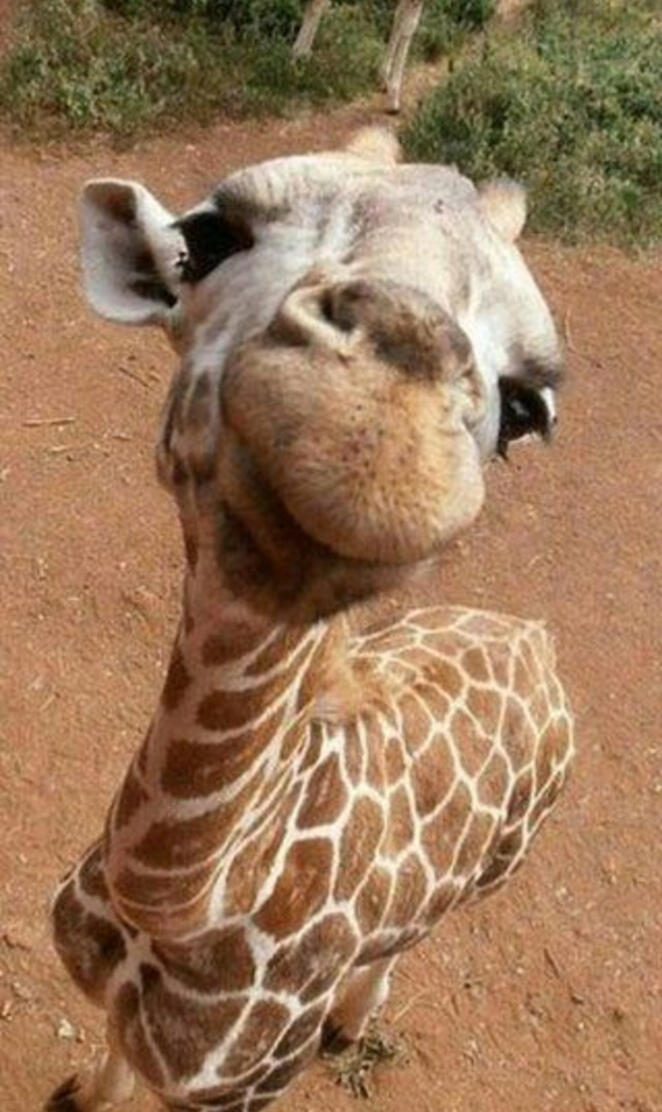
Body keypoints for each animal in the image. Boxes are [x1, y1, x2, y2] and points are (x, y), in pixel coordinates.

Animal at [45, 129, 573, 1112]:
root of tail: (537, 639)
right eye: (204, 239)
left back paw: (351, 1023)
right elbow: (107, 1061)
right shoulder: (117, 1010)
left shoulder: (248, 1088)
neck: (176, 908)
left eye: (527, 408)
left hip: (500, 868)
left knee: (418, 936)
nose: (374, 440)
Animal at [293, 0, 424, 112]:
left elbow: (399, 17)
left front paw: (383, 77)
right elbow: (408, 26)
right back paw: (297, 61)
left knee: (313, 6)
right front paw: (393, 99)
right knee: (316, 5)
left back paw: (299, 61)